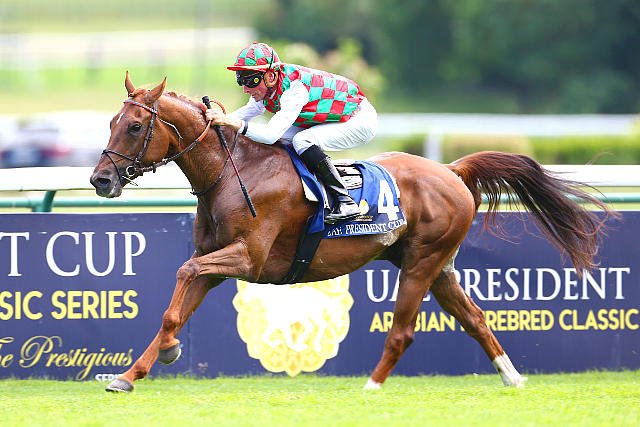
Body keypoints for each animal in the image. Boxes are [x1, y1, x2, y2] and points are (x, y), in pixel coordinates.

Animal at [90, 72, 613, 392]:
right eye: (111, 121)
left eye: (133, 126)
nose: (100, 180)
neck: (231, 171)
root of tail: (451, 170)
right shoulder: (218, 264)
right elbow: (174, 310)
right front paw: (133, 372)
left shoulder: (249, 258)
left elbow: (182, 273)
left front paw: (166, 353)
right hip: (437, 266)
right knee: (476, 319)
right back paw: (512, 378)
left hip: (422, 263)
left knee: (403, 331)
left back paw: (372, 386)